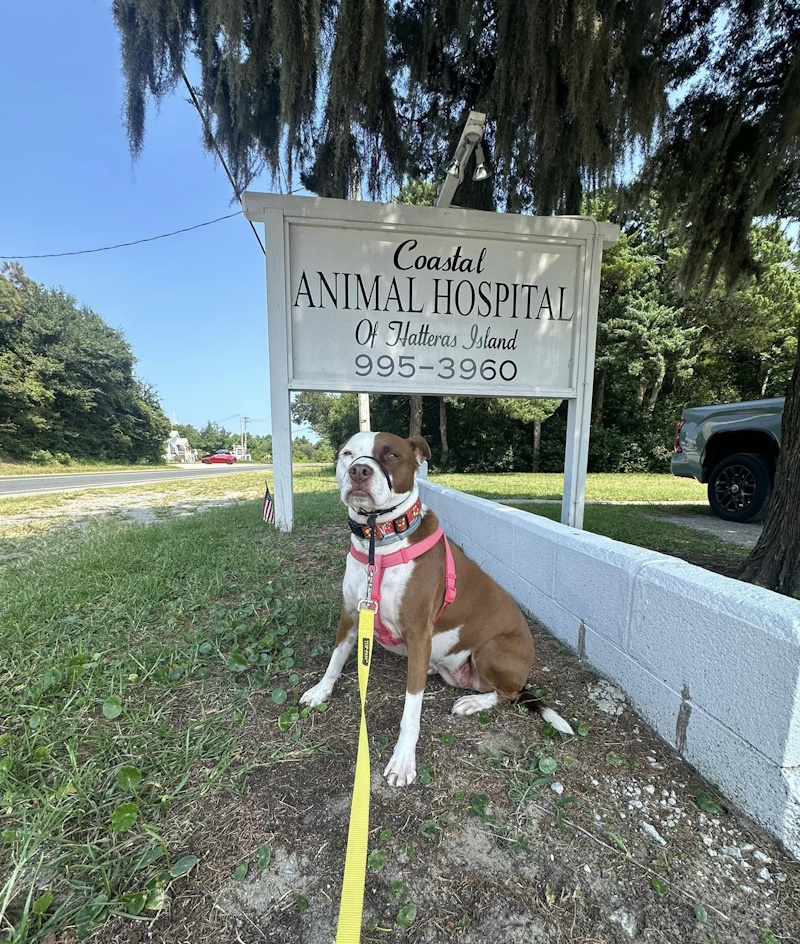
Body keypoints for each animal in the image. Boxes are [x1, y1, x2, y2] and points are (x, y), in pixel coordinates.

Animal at [298, 432, 568, 784]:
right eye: (348, 453)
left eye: (391, 455)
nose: (359, 471)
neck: (379, 543)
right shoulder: (352, 614)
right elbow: (335, 660)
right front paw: (320, 691)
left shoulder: (417, 631)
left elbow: (411, 711)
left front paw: (403, 761)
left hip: (492, 651)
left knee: (508, 694)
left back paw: (473, 702)